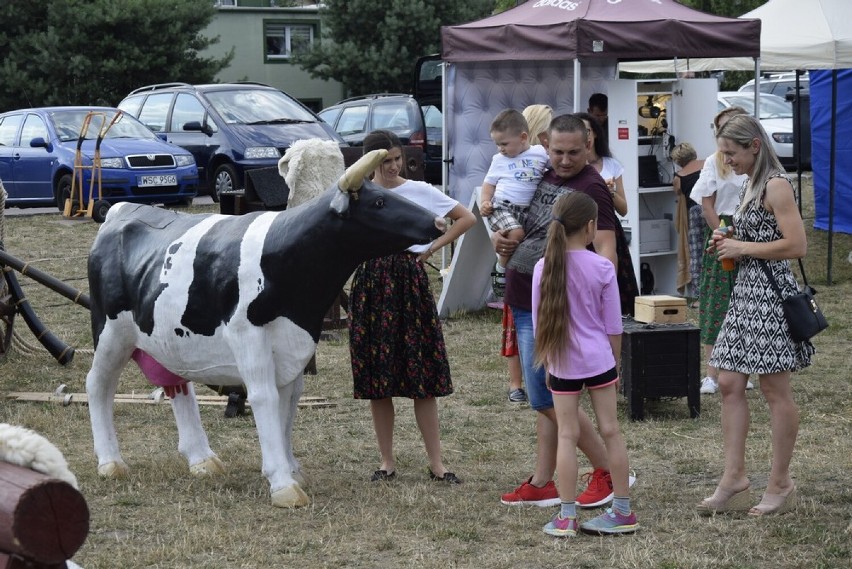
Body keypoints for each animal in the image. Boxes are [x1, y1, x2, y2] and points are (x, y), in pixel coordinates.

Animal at [86, 150, 446, 506]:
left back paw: (202, 459)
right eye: (379, 203)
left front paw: (291, 469)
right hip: (110, 332)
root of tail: (120, 210)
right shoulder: (247, 336)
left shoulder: (295, 343)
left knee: (178, 385)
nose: (439, 222)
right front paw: (282, 482)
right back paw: (110, 462)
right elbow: (264, 398)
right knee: (97, 384)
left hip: (168, 337)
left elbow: (288, 401)